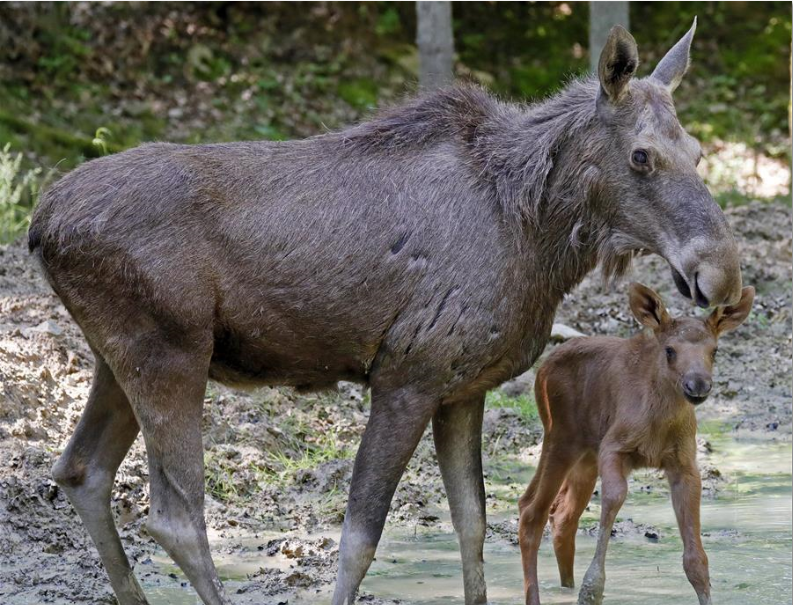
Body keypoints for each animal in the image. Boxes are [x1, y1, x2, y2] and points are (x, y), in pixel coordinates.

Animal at [516, 284, 752, 604]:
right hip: (560, 436)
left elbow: (696, 559)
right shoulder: (613, 447)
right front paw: (592, 589)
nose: (698, 385)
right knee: (532, 511)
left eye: (714, 351)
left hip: (585, 455)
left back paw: (567, 586)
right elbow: (615, 496)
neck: (659, 423)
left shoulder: (684, 462)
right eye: (670, 350)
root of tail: (541, 369)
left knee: (562, 515)